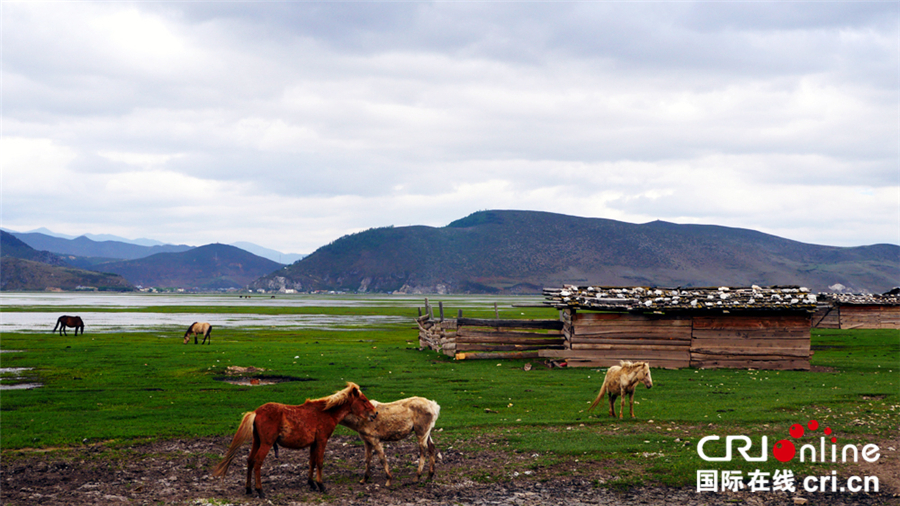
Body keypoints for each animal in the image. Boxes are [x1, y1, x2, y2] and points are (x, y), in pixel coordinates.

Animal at [211, 382, 376, 496]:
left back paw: (248, 489)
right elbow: (320, 462)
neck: (326, 412)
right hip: (266, 443)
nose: (375, 413)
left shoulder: (313, 443)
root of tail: (256, 412)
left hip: (257, 442)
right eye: (363, 400)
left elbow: (312, 462)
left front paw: (311, 483)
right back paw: (260, 491)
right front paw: (321, 485)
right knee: (257, 462)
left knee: (250, 461)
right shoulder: (322, 441)